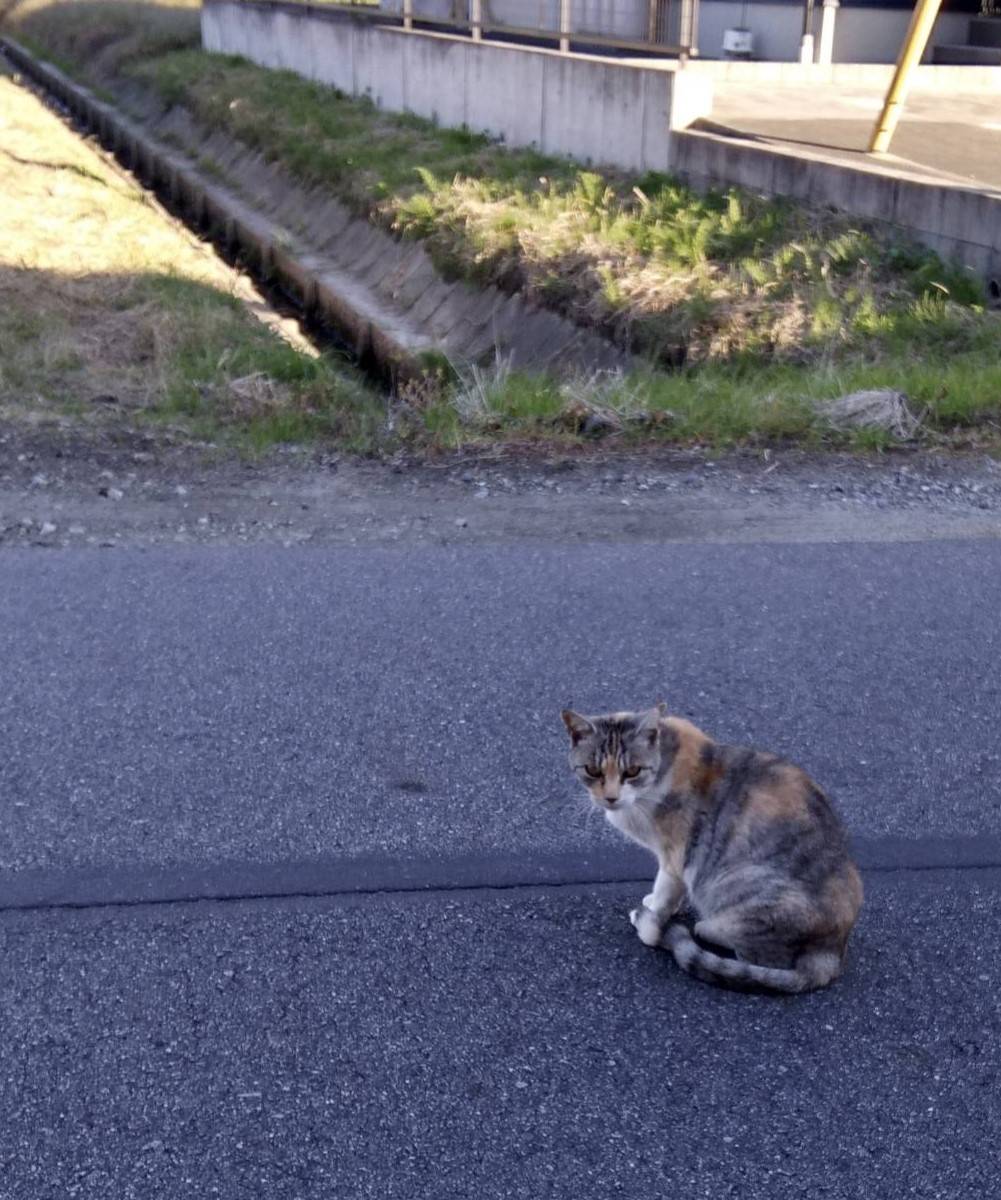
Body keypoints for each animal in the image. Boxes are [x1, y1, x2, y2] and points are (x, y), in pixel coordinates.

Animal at [561, 700, 859, 993]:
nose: (610, 798)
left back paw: (706, 927)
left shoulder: (675, 856)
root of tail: (833, 950)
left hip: (739, 880)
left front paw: (655, 912)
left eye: (632, 771)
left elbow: (664, 890)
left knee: (757, 958)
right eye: (593, 770)